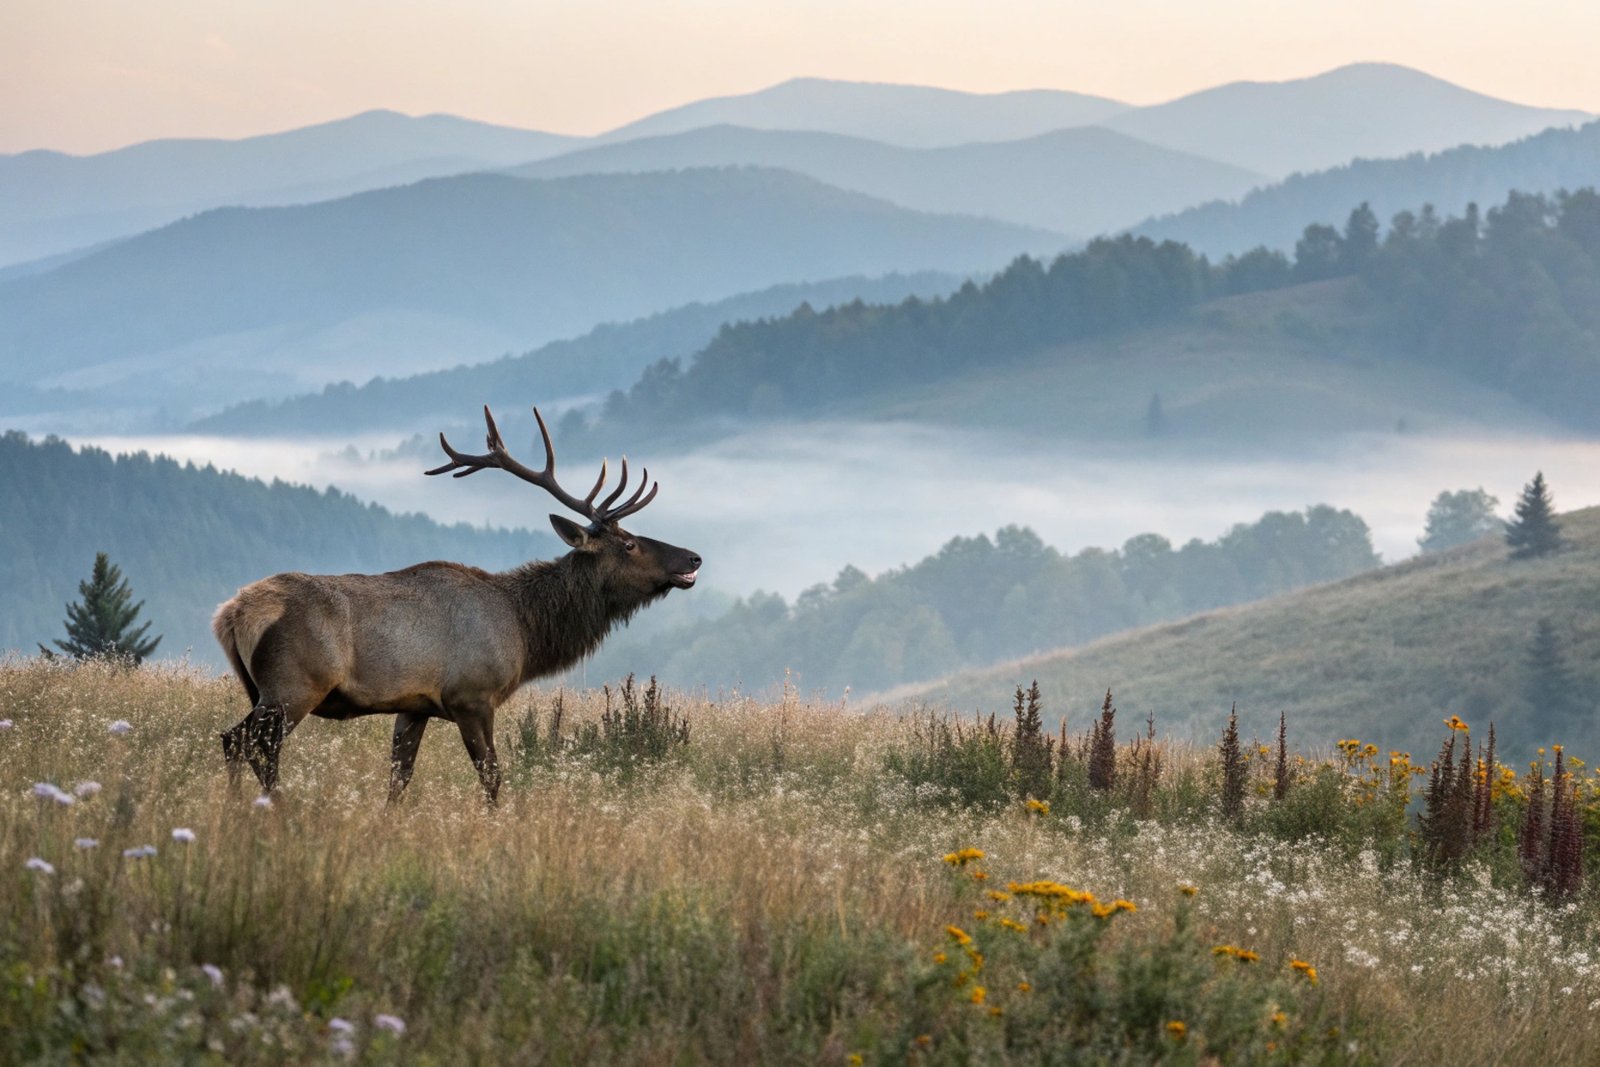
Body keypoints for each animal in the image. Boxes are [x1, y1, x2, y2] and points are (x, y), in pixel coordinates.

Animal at [212, 405, 701, 805]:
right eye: (630, 544)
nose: (693, 558)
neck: (525, 633)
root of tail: (230, 615)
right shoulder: (471, 696)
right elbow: (492, 776)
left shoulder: (414, 705)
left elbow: (399, 778)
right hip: (293, 686)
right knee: (246, 742)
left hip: (263, 688)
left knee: (236, 741)